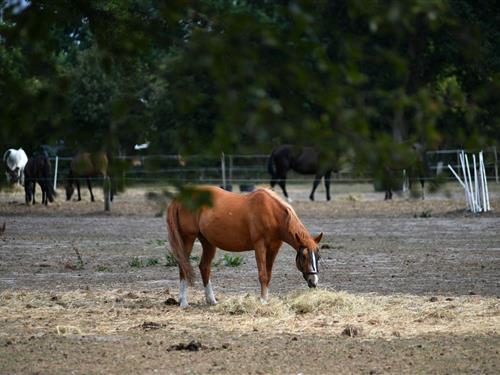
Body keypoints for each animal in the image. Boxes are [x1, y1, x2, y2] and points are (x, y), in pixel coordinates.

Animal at [167, 187, 324, 308]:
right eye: (304, 256)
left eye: (318, 257)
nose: (313, 282)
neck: (272, 212)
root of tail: (182, 197)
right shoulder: (259, 246)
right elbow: (263, 275)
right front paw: (263, 301)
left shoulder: (274, 248)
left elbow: (269, 275)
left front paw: (265, 299)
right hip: (188, 238)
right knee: (183, 265)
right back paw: (184, 302)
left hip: (208, 243)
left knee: (204, 267)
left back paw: (211, 300)